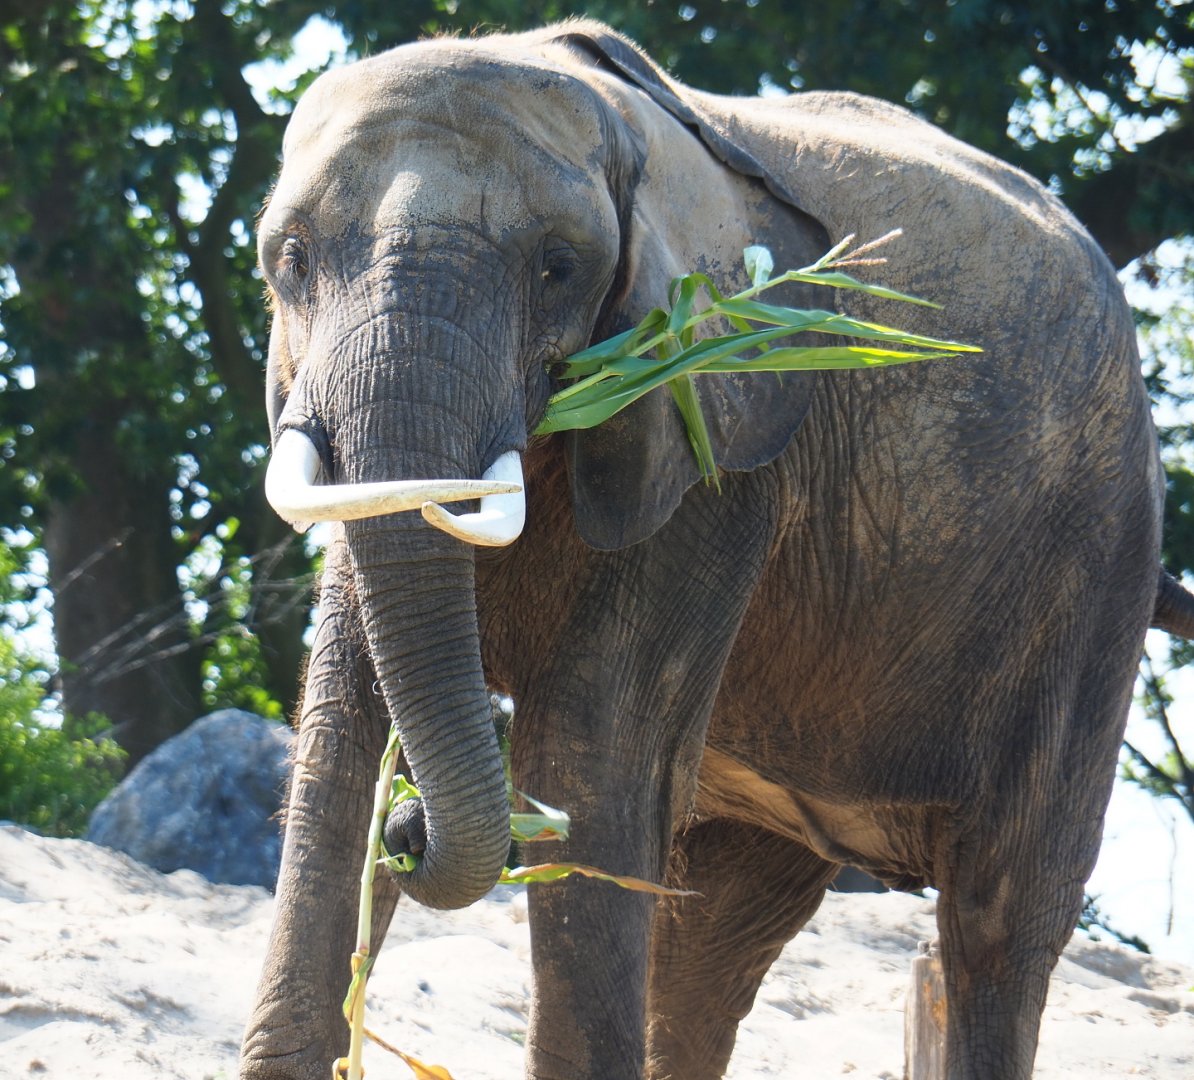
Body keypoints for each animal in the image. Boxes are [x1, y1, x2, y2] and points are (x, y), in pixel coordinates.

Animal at [240, 19, 1194, 1080]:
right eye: (292, 259)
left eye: (558, 266)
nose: (407, 831)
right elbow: (339, 736)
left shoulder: (721, 430)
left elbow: (588, 749)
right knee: (713, 939)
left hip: (1095, 573)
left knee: (997, 921)